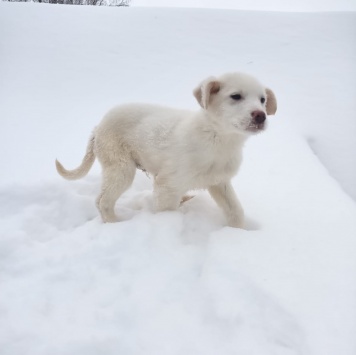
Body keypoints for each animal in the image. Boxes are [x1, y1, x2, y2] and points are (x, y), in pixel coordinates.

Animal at [57, 73, 276, 228]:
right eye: (236, 96)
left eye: (262, 100)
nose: (261, 116)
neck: (217, 139)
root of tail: (98, 127)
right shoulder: (167, 185)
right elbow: (167, 213)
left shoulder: (219, 182)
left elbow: (235, 210)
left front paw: (238, 232)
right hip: (120, 168)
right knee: (102, 201)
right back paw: (114, 224)